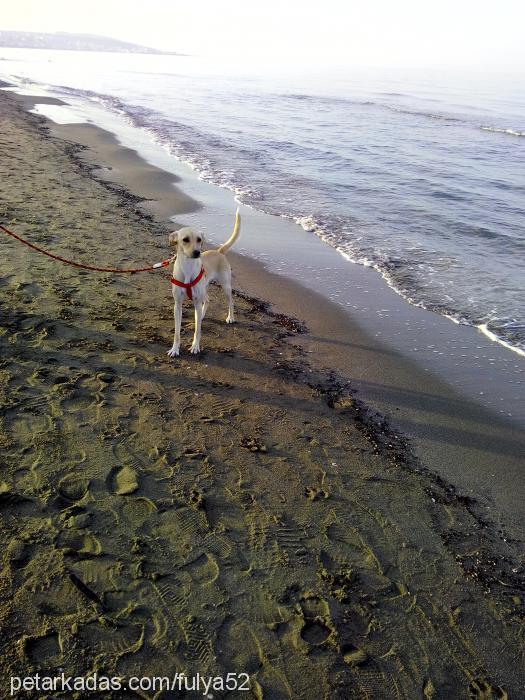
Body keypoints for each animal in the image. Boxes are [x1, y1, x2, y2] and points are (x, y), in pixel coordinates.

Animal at [167, 209, 241, 356]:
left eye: (199, 240)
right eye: (185, 239)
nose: (197, 253)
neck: (188, 267)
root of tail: (219, 252)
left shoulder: (196, 301)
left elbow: (198, 331)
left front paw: (195, 346)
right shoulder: (177, 305)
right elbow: (177, 333)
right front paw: (175, 348)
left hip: (225, 286)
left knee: (231, 301)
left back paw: (229, 317)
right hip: (204, 289)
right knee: (207, 300)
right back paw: (200, 316)